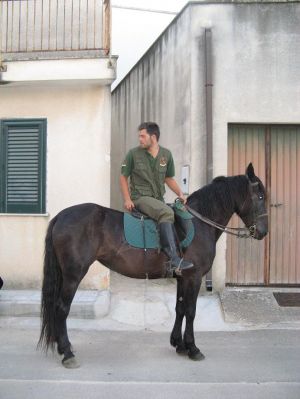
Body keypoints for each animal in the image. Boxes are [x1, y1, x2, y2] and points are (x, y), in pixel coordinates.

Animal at [38, 165, 270, 368]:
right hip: (73, 274)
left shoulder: (182, 277)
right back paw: (67, 353)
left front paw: (179, 344)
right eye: (260, 197)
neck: (199, 223)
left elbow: (180, 308)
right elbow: (191, 311)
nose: (263, 232)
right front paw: (193, 348)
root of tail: (60, 216)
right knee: (61, 309)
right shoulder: (194, 277)